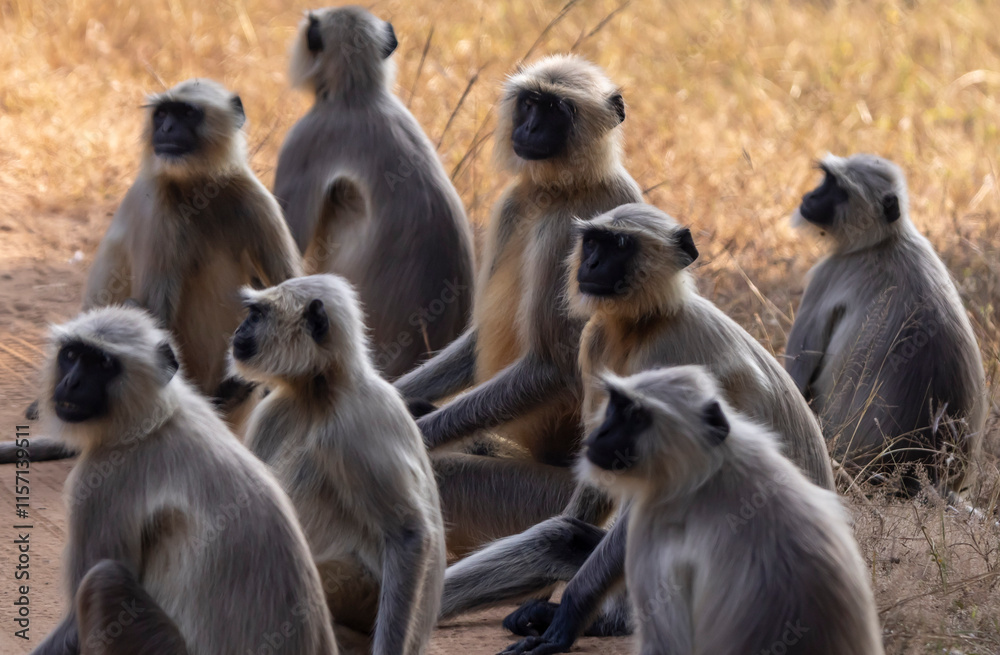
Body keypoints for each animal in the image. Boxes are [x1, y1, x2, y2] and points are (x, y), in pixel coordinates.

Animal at [29, 306, 338, 655]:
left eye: (103, 364)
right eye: (71, 355)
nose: (72, 382)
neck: (154, 419)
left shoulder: (100, 480)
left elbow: (71, 629)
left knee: (102, 579)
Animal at [231, 274, 445, 655]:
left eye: (256, 315)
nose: (239, 330)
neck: (318, 392)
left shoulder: (357, 419)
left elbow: (408, 535)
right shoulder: (274, 410)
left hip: (362, 593)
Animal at [393, 55, 644, 554]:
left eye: (556, 110)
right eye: (530, 103)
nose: (528, 127)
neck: (567, 189)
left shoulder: (569, 234)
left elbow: (551, 365)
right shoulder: (513, 205)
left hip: (536, 494)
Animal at [441, 203, 835, 654]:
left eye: (620, 244)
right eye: (593, 242)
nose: (591, 264)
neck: (644, 323)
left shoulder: (669, 353)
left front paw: (566, 619)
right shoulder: (595, 341)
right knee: (558, 538)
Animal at [785, 153, 987, 492]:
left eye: (838, 189)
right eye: (826, 180)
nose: (810, 197)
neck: (885, 242)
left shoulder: (829, 274)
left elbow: (796, 377)